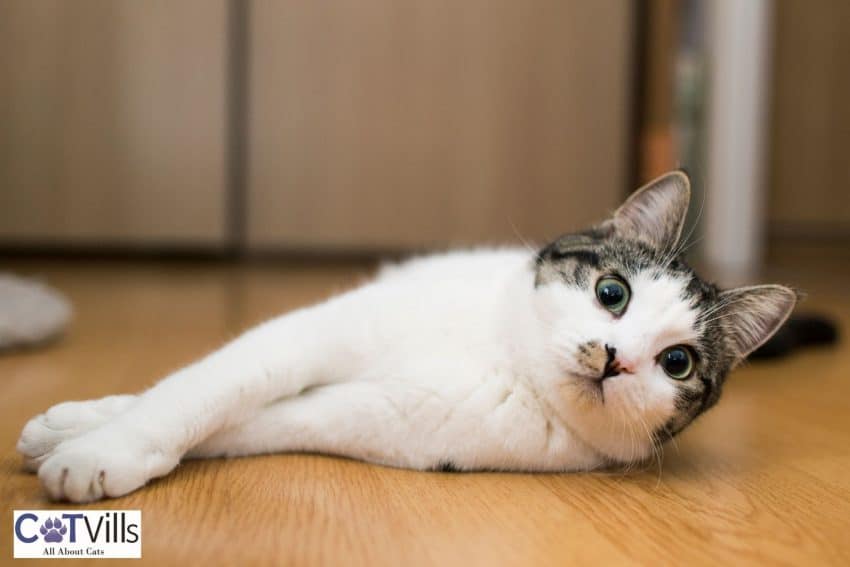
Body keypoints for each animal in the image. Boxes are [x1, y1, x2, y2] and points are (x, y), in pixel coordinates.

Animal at [14, 172, 796, 502]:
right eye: (612, 293)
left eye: (677, 362)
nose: (616, 359)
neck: (503, 358)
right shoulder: (311, 333)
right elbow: (201, 386)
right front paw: (89, 429)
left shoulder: (372, 416)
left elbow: (248, 421)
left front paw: (93, 449)